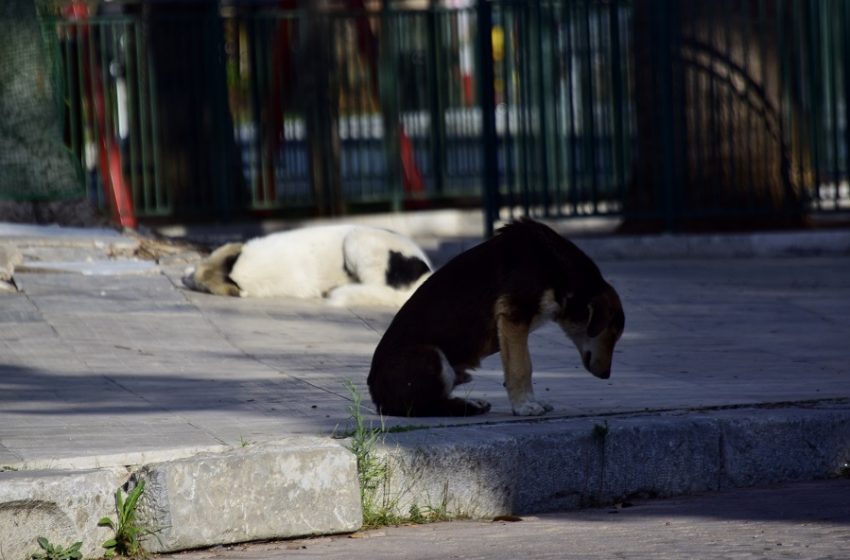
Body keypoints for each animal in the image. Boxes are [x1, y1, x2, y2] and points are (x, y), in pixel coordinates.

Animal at [366, 219, 624, 416]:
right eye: (612, 334)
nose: (607, 375)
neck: (555, 265)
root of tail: (376, 394)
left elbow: (520, 366)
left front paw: (530, 402)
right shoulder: (514, 318)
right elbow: (522, 367)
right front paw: (524, 407)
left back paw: (473, 403)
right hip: (431, 356)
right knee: (423, 407)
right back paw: (468, 407)